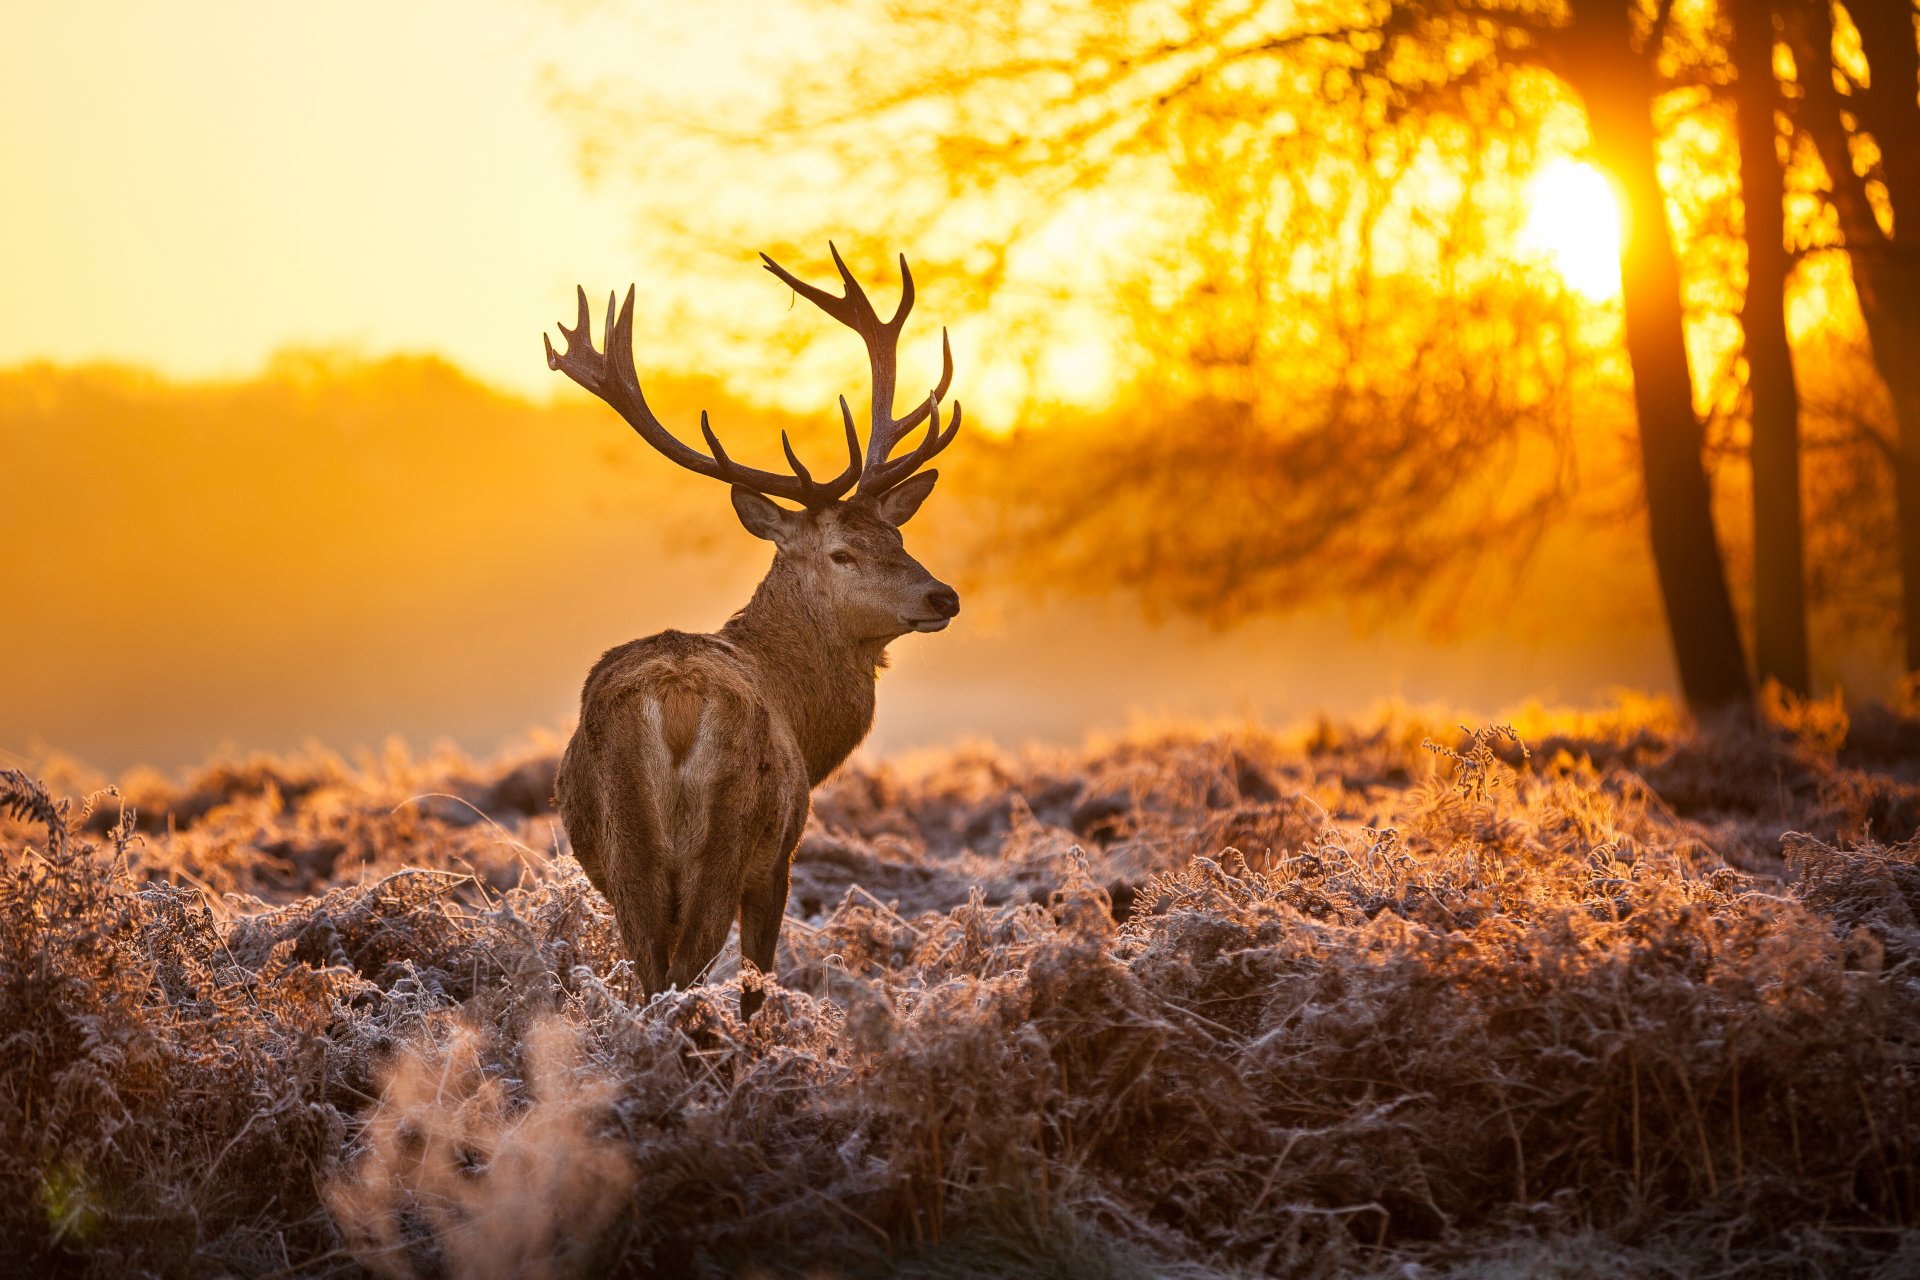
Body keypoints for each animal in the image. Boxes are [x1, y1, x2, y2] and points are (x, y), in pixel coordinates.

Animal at [543, 246, 961, 1018]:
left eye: (897, 535)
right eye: (842, 553)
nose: (942, 595)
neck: (806, 719)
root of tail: (676, 704)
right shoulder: (781, 856)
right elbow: (757, 982)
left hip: (624, 852)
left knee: (651, 973)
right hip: (729, 838)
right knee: (687, 972)